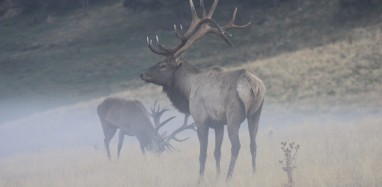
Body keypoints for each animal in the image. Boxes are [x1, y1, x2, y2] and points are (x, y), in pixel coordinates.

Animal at [141, 0, 266, 179]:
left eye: (162, 65)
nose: (142, 74)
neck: (187, 90)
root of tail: (253, 85)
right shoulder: (218, 124)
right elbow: (217, 152)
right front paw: (217, 176)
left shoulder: (201, 119)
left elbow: (203, 153)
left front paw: (201, 179)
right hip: (256, 113)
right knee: (253, 144)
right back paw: (254, 173)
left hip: (234, 115)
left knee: (236, 145)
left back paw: (229, 177)